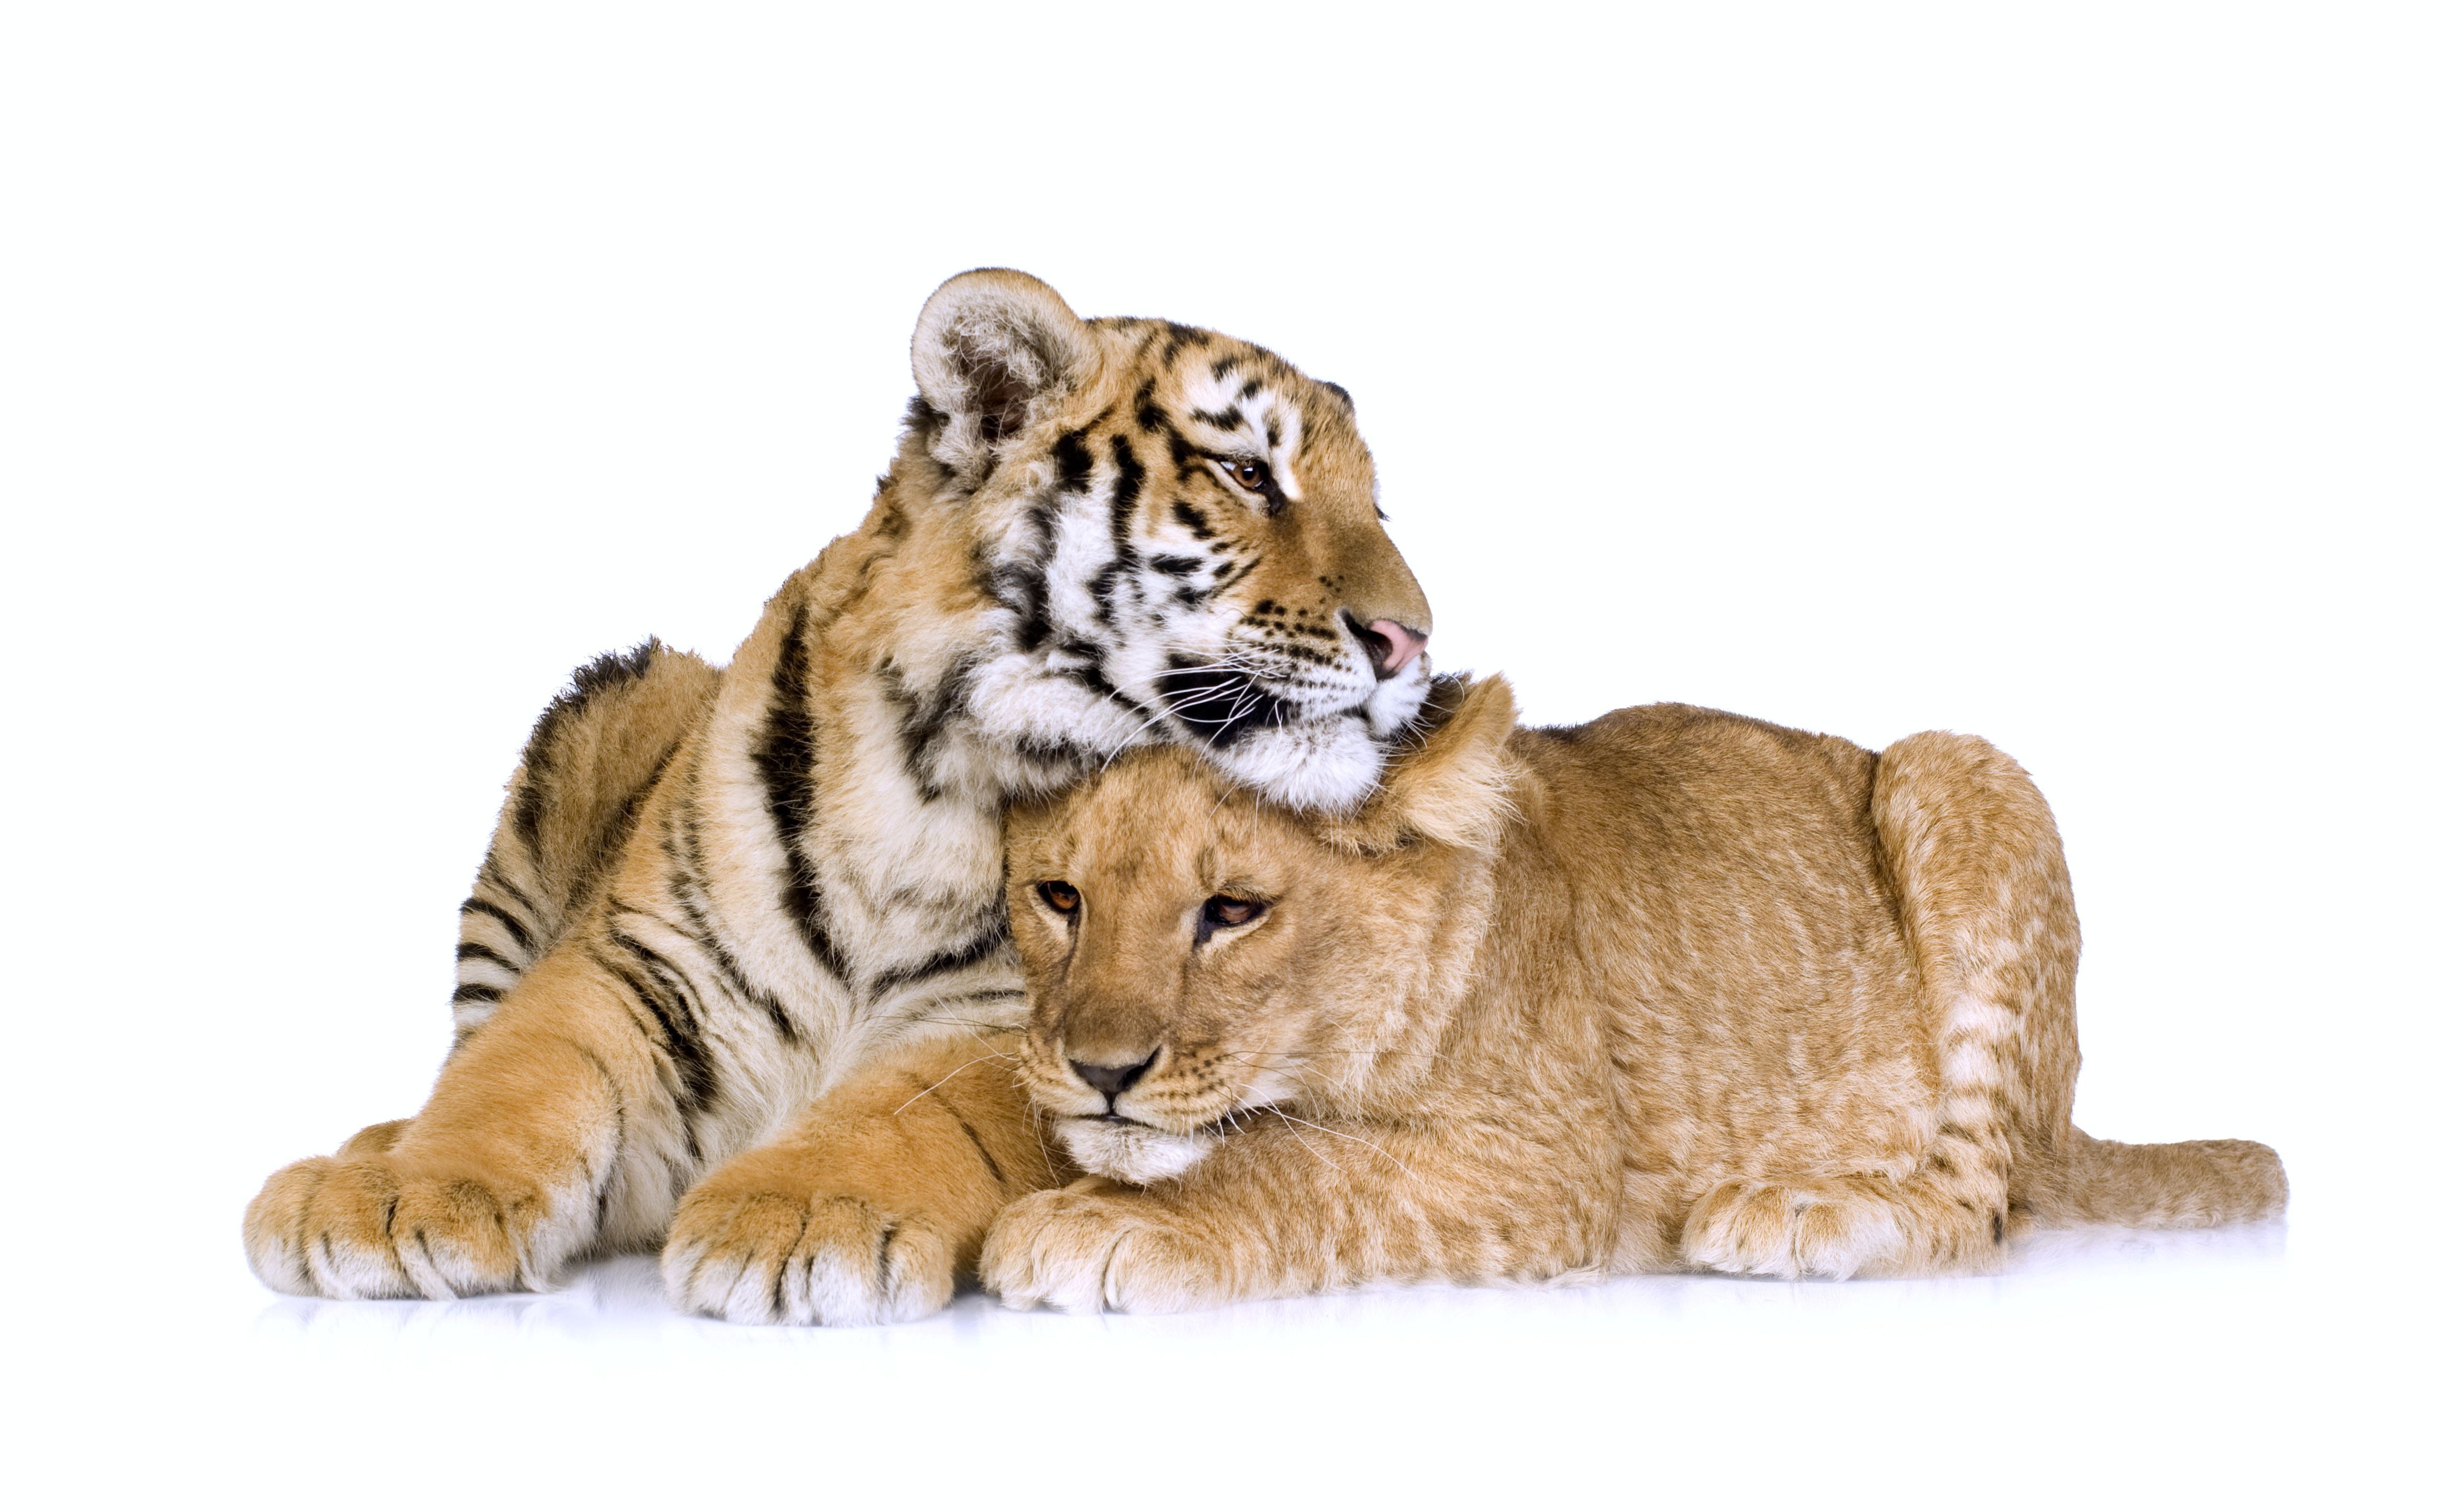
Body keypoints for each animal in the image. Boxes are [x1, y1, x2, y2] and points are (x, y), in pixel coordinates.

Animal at [243, 269, 1435, 1324]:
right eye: (1246, 474)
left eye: (1376, 504)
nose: (1410, 638)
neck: (938, 774)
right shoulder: (639, 960)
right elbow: (521, 1066)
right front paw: (395, 1197)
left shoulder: (1021, 1018)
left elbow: (915, 1105)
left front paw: (797, 1217)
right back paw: (366, 1148)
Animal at [976, 675, 2289, 1312]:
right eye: (1059, 897)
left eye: (1234, 910)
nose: (1099, 1074)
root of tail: (2061, 1120)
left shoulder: (1553, 1162)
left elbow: (1300, 1161)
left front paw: (1108, 1220)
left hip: (1959, 769)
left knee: (1981, 1206)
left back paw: (1801, 1207)